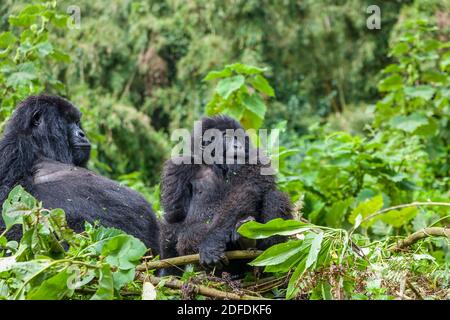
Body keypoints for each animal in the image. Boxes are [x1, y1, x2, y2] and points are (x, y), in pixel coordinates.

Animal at [160, 115, 294, 276]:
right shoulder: (177, 167)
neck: (213, 164)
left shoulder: (255, 158)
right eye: (226, 137)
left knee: (275, 196)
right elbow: (174, 216)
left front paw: (211, 242)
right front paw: (167, 272)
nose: (238, 146)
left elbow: (244, 190)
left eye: (239, 137)